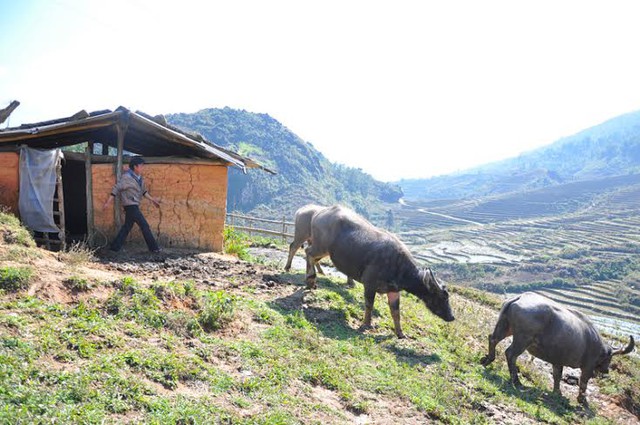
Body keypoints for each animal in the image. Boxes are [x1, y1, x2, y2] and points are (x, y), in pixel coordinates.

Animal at [304, 204, 456, 336]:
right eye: (441, 297)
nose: (451, 317)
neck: (399, 267)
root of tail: (320, 212)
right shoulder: (369, 285)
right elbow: (369, 305)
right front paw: (366, 324)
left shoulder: (394, 291)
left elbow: (396, 312)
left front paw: (400, 333)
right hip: (321, 246)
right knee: (308, 251)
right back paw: (311, 279)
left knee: (310, 255)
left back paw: (310, 280)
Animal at [480, 292, 636, 400]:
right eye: (609, 358)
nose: (606, 370)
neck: (597, 346)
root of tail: (519, 298)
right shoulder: (588, 367)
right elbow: (583, 382)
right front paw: (582, 399)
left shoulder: (557, 361)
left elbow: (557, 376)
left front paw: (557, 392)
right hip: (523, 339)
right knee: (510, 354)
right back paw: (517, 381)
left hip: (505, 326)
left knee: (492, 339)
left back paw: (487, 360)